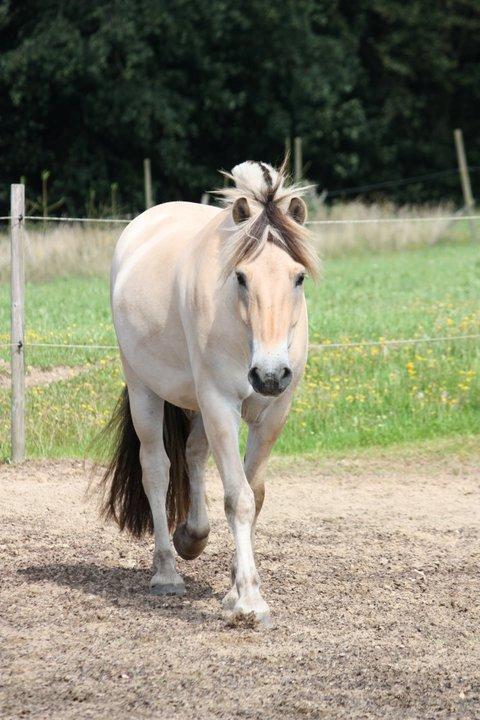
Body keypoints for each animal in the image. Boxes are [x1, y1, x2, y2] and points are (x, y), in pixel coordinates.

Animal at [101, 160, 316, 620]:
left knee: (194, 455)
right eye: (241, 276)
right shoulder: (220, 404)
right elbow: (238, 498)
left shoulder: (274, 412)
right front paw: (249, 601)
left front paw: (234, 587)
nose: (269, 374)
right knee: (157, 469)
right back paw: (167, 572)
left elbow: (254, 494)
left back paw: (192, 537)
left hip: (197, 405)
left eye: (299, 277)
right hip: (144, 389)